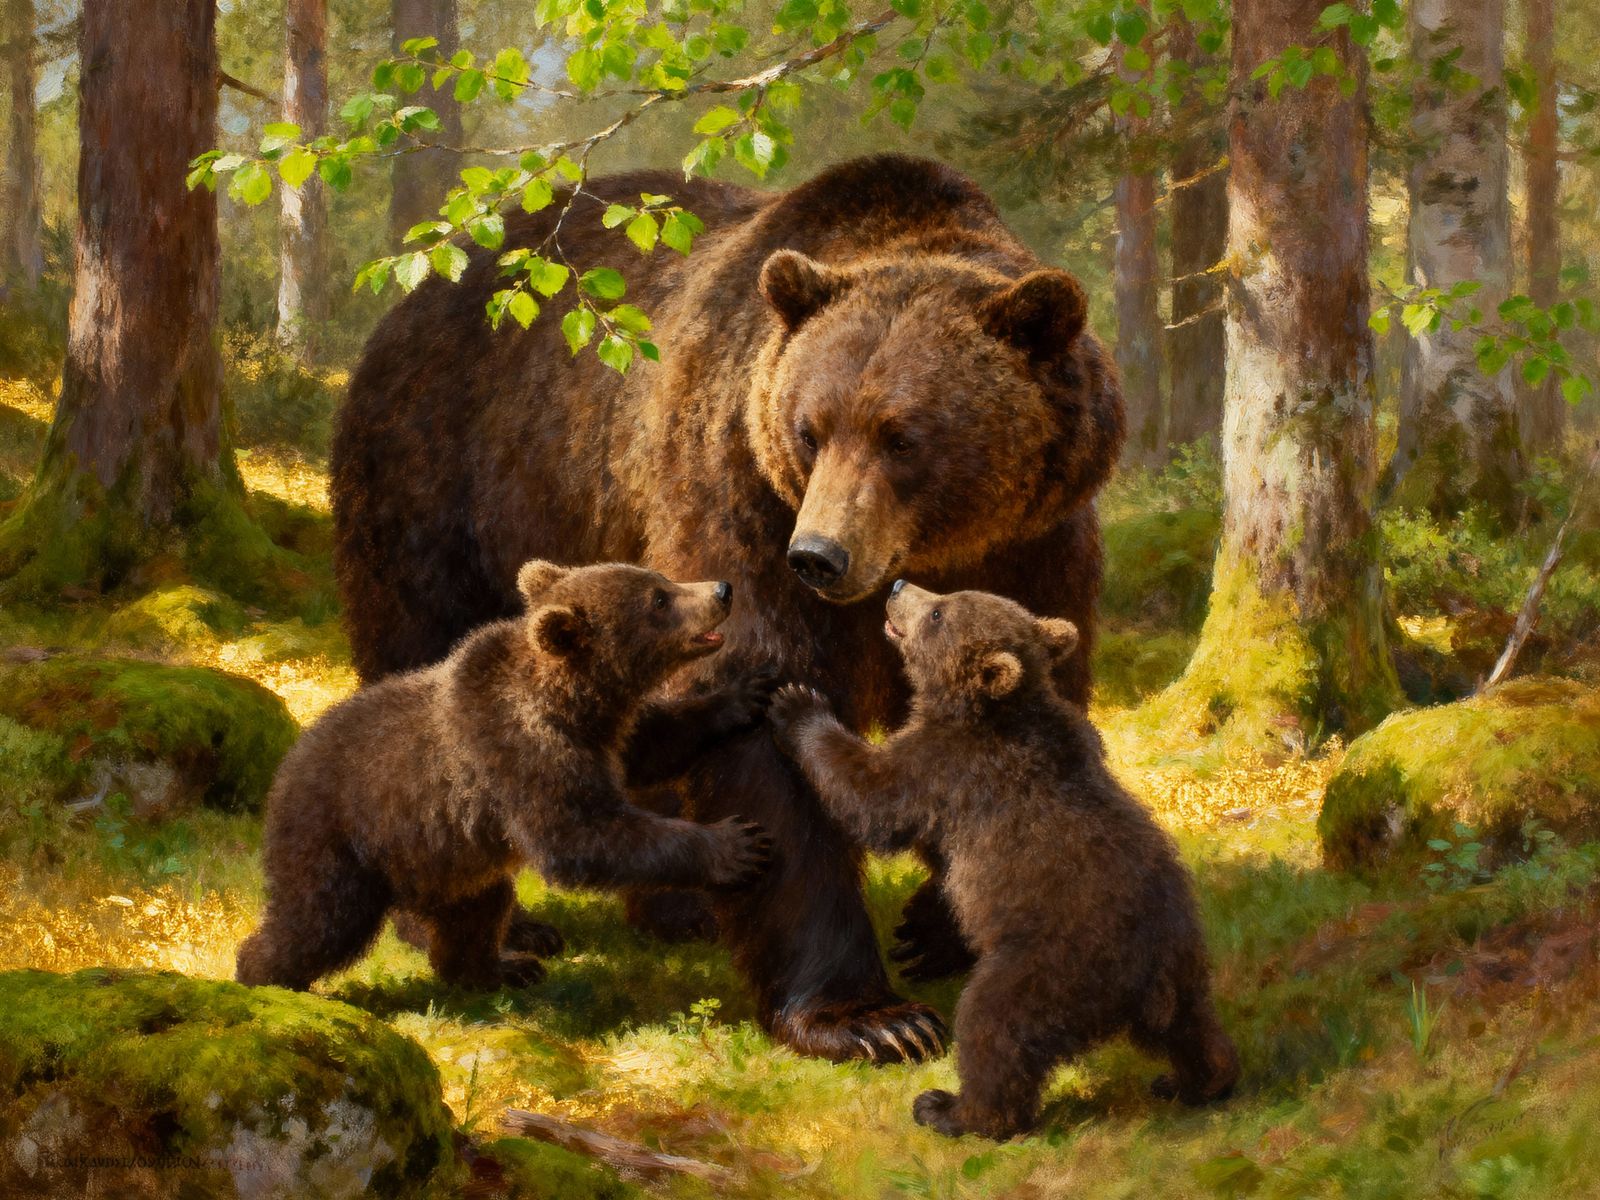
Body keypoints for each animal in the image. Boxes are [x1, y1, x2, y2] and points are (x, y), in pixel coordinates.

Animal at [235, 561, 776, 992]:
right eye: (659, 599)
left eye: (659, 578)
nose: (723, 590)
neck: (568, 703)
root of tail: (286, 767)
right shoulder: (520, 754)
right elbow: (583, 835)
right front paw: (735, 844)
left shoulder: (603, 736)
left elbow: (654, 744)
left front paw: (745, 695)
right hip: (340, 841)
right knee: (318, 921)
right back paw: (262, 976)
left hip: (447, 861)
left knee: (475, 913)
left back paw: (503, 967)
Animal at [330, 153, 1123, 1061]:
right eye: (811, 429)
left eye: (903, 435)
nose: (820, 556)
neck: (936, 550)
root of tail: (414, 290)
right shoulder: (739, 493)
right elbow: (763, 716)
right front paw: (867, 1017)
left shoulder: (1040, 543)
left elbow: (1029, 698)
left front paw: (935, 927)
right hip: (441, 491)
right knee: (428, 678)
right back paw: (486, 923)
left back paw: (678, 906)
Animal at [769, 581, 1239, 1140]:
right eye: (946, 596)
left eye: (938, 612)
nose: (899, 587)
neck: (989, 711)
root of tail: (1146, 975)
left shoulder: (948, 768)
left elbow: (872, 798)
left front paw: (797, 704)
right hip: (1185, 959)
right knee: (1193, 1029)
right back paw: (1193, 1081)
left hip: (1044, 969)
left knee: (993, 1031)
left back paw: (951, 1109)